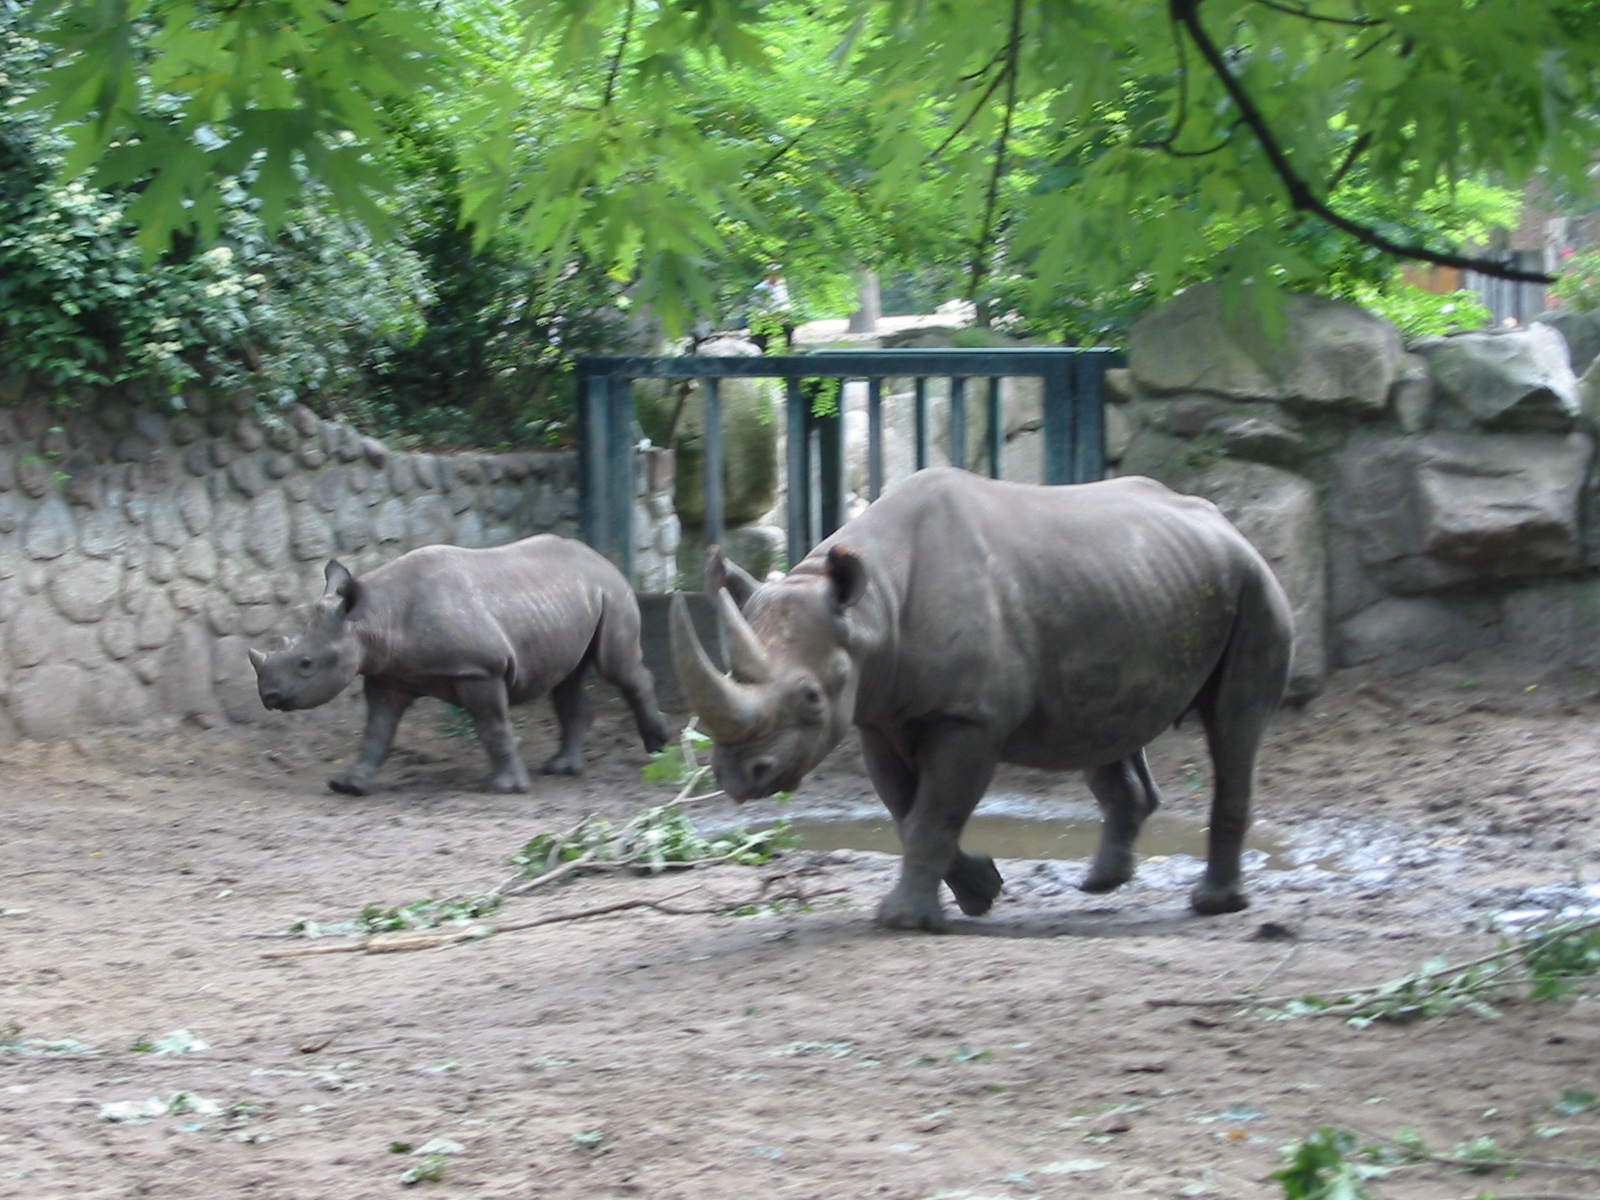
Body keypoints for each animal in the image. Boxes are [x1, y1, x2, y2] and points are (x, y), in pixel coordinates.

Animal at [249, 535, 671, 795]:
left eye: (306, 664)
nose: (268, 697)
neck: (373, 617)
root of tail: (600, 557)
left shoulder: (479, 669)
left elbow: (492, 726)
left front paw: (505, 788)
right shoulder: (387, 674)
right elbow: (376, 731)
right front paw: (349, 784)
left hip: (612, 592)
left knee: (618, 669)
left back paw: (659, 747)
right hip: (574, 597)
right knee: (567, 679)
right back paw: (561, 768)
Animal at [669, 467, 1293, 931]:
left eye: (809, 697)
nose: (737, 777)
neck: (869, 610)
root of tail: (1226, 522)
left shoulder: (969, 717)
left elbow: (935, 810)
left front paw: (902, 920)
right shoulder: (879, 714)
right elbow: (905, 808)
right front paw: (979, 893)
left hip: (1253, 586)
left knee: (1234, 725)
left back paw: (1213, 905)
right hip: (1132, 583)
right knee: (1106, 722)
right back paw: (1101, 882)